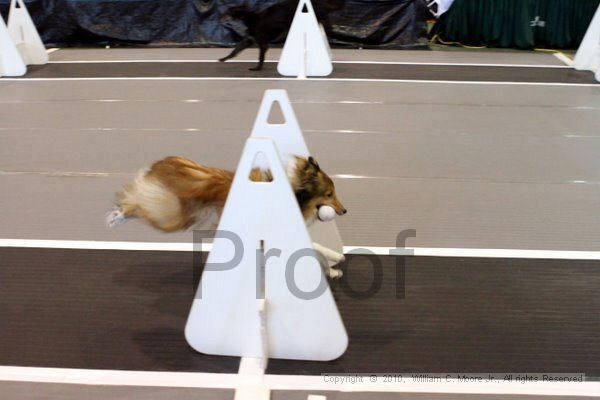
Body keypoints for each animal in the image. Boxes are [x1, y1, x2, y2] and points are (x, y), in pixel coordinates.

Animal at [108, 156, 346, 278]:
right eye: (329, 194)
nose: (344, 211)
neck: (295, 192)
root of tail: (166, 162)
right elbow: (317, 247)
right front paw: (337, 257)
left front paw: (332, 271)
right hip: (172, 212)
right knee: (137, 202)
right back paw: (115, 217)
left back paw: (116, 216)